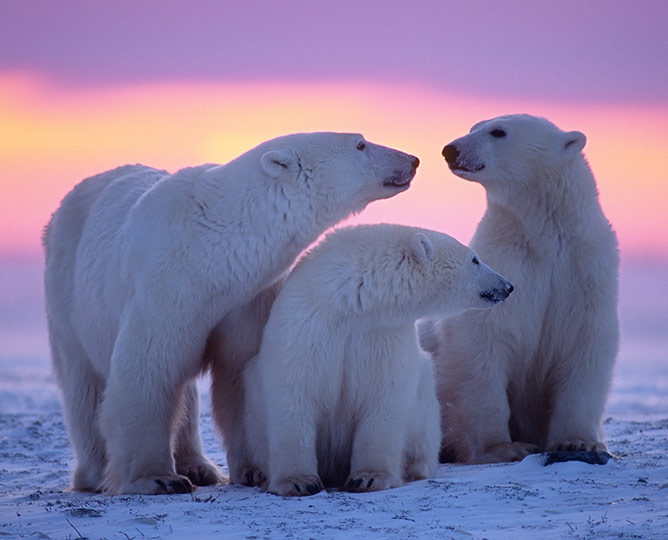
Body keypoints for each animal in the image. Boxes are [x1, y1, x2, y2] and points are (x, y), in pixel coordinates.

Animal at [243, 221, 516, 496]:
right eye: (474, 259)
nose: (507, 286)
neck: (352, 303)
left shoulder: (383, 334)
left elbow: (384, 396)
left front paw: (368, 478)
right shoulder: (307, 324)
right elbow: (294, 391)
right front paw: (299, 481)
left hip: (425, 404)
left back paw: (414, 467)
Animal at [420, 114, 620, 464]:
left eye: (498, 131)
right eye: (473, 127)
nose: (450, 150)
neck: (544, 237)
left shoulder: (585, 271)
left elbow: (586, 345)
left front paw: (579, 442)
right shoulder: (506, 265)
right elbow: (482, 342)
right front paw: (503, 447)